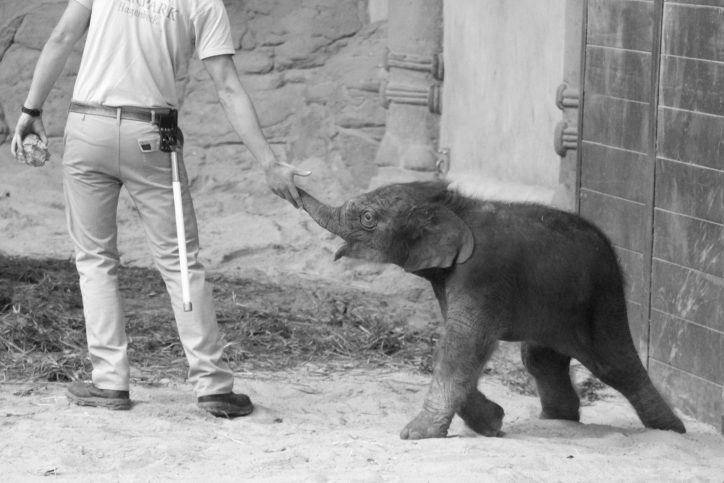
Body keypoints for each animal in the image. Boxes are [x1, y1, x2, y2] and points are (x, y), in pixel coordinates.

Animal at [298, 181, 684, 438]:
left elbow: (463, 343)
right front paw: (494, 422)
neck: (456, 206)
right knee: (541, 359)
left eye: (368, 217)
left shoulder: (482, 274)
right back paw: (558, 420)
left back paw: (670, 431)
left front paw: (415, 434)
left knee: (614, 365)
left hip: (602, 298)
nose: (292, 187)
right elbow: (459, 347)